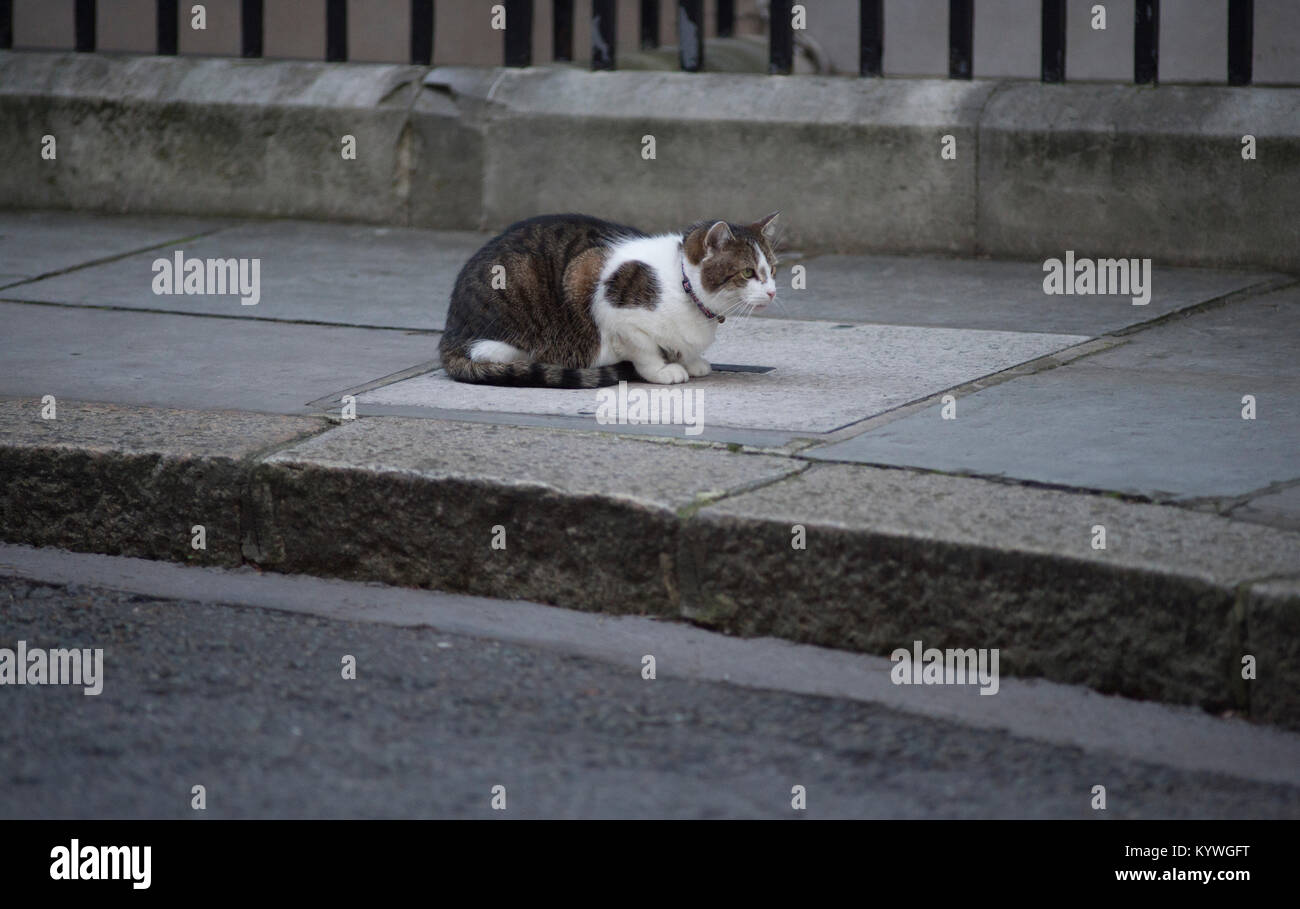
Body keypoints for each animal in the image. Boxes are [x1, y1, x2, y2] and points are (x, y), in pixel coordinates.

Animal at [441, 211, 774, 384]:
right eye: (747, 272)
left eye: (771, 269)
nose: (772, 291)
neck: (683, 287)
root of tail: (449, 333)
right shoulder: (609, 304)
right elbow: (644, 350)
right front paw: (663, 370)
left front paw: (691, 360)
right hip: (508, 332)